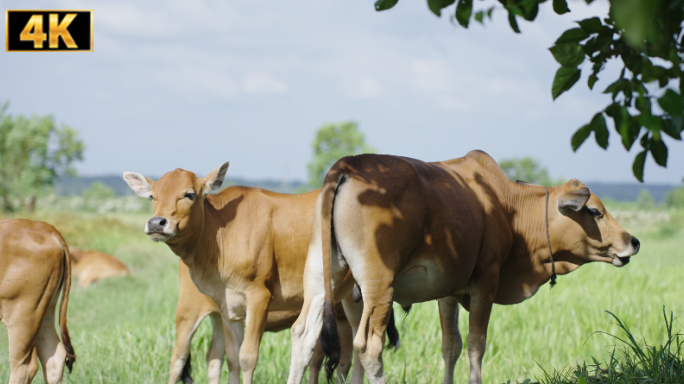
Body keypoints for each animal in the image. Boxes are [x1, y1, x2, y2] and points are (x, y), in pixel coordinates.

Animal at [123, 163, 360, 384]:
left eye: (189, 194)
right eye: (152, 196)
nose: (156, 222)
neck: (219, 235)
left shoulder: (257, 298)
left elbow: (245, 357)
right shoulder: (228, 307)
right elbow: (234, 358)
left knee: (207, 357)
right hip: (189, 310)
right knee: (180, 358)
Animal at [286, 150, 640, 384]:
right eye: (594, 211)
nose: (633, 241)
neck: (508, 207)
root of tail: (346, 165)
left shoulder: (449, 291)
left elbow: (451, 346)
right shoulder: (486, 280)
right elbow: (475, 344)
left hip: (323, 279)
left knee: (304, 336)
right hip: (378, 286)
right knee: (369, 348)